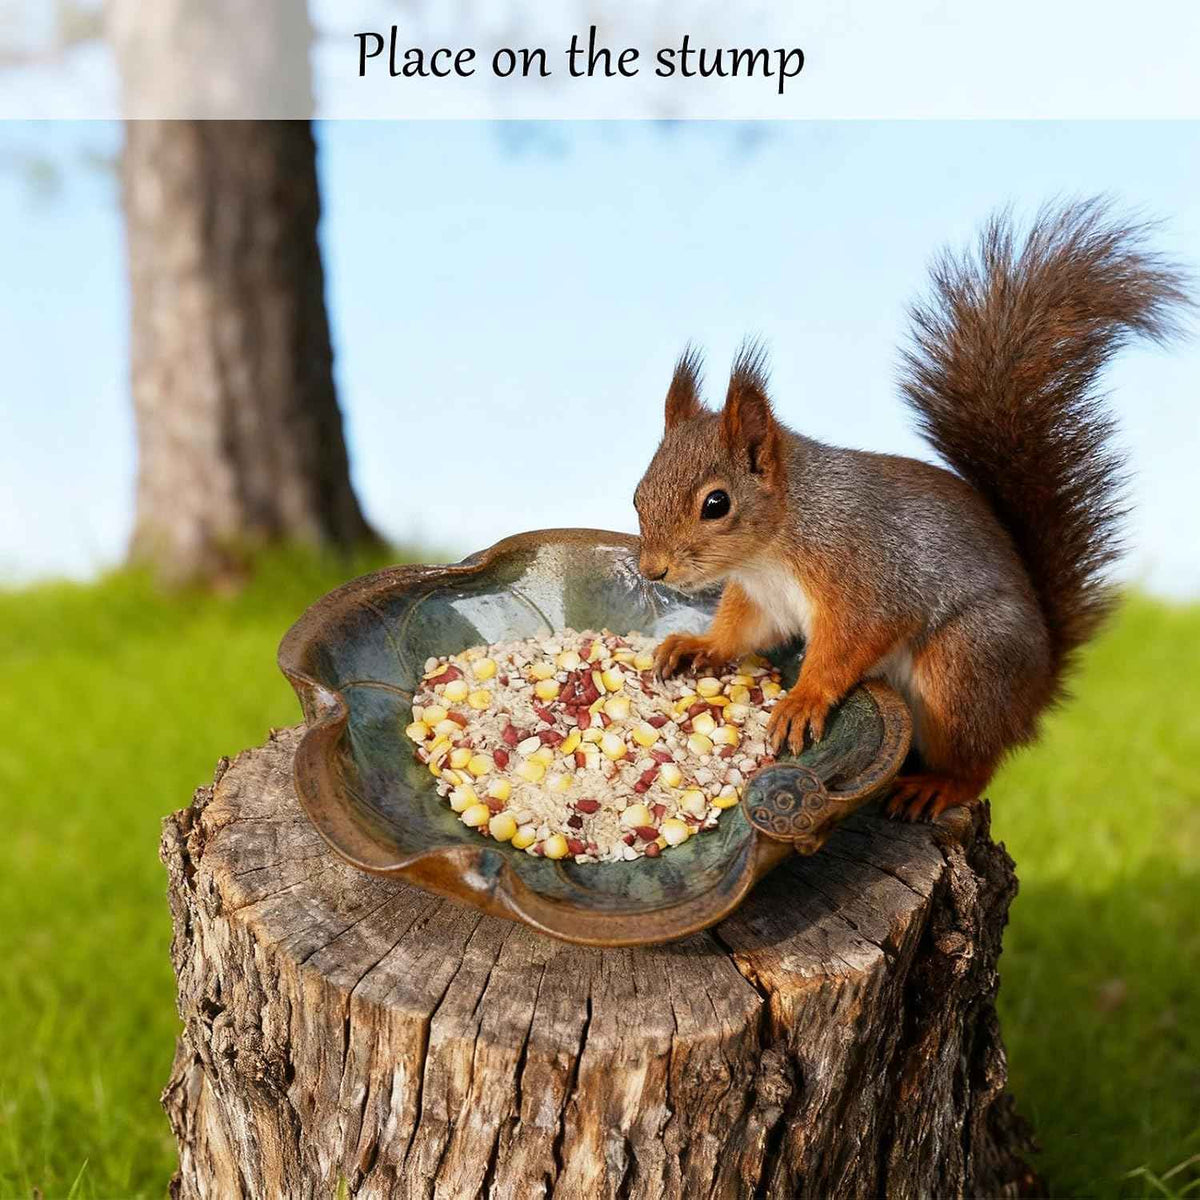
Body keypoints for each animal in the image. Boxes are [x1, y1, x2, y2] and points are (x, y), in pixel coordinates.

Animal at [633, 199, 1191, 820]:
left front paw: (804, 698)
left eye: (716, 503)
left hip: (965, 664)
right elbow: (741, 632)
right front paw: (698, 646)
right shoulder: (762, 600)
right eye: (639, 492)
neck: (775, 544)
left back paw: (938, 785)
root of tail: (1037, 688)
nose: (652, 570)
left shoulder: (865, 576)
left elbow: (848, 645)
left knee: (976, 763)